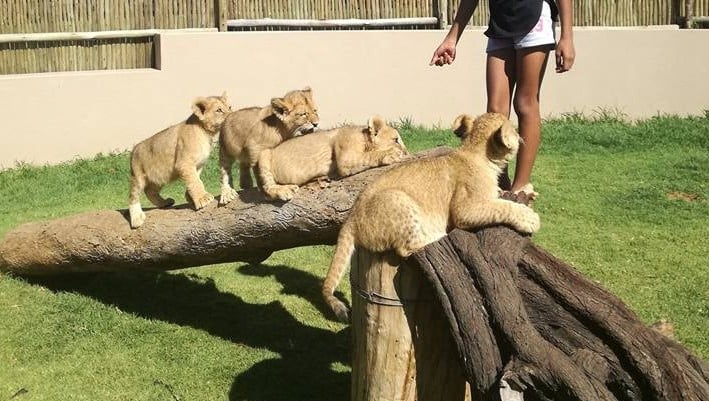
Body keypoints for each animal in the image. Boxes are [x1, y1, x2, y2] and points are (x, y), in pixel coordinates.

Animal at [128, 92, 231, 229]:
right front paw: (202, 198)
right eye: (219, 110)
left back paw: (164, 203)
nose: (233, 114)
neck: (206, 134)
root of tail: (134, 149)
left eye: (230, 107)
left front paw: (190, 197)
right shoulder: (184, 163)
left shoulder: (197, 165)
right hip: (138, 175)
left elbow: (195, 180)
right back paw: (136, 219)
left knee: (150, 191)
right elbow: (195, 182)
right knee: (133, 196)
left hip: (158, 177)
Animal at [257, 115, 409, 201]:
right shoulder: (346, 156)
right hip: (263, 154)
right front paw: (392, 153)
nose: (407, 153)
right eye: (396, 140)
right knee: (266, 188)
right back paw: (285, 190)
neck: (363, 136)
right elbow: (367, 156)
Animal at [322, 112, 541, 322]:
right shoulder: (465, 208)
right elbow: (501, 207)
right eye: (513, 128)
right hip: (398, 199)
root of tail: (350, 219)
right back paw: (439, 233)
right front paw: (530, 218)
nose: (520, 137)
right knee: (406, 247)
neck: (476, 151)